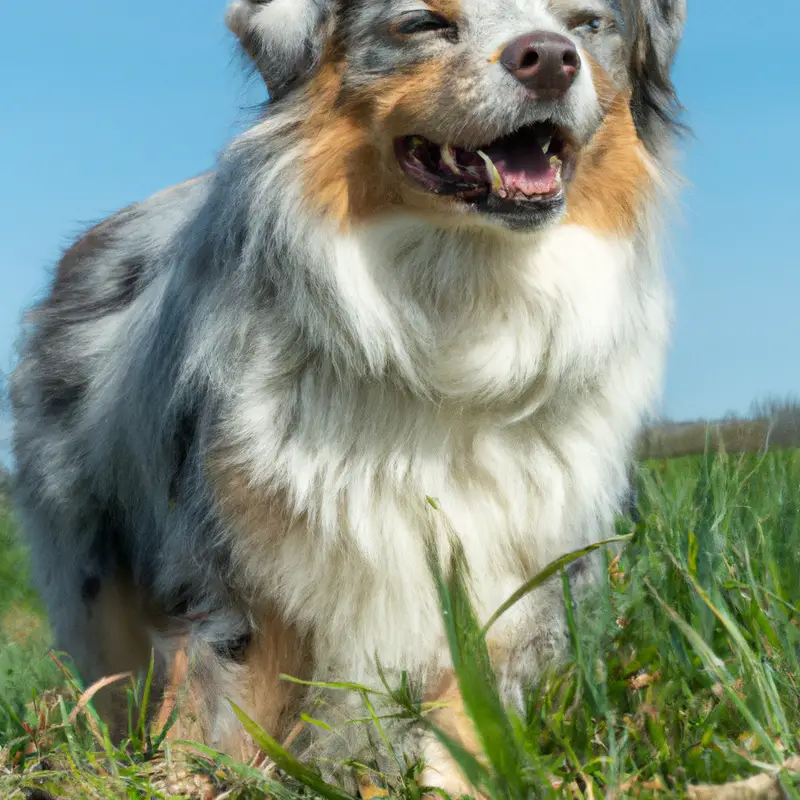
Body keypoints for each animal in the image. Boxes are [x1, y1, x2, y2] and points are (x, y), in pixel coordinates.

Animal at [9, 0, 684, 792]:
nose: (549, 58)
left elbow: (465, 721)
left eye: (587, 24)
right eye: (423, 24)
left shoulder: (513, 573)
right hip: (93, 572)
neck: (456, 304)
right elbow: (215, 721)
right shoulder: (237, 576)